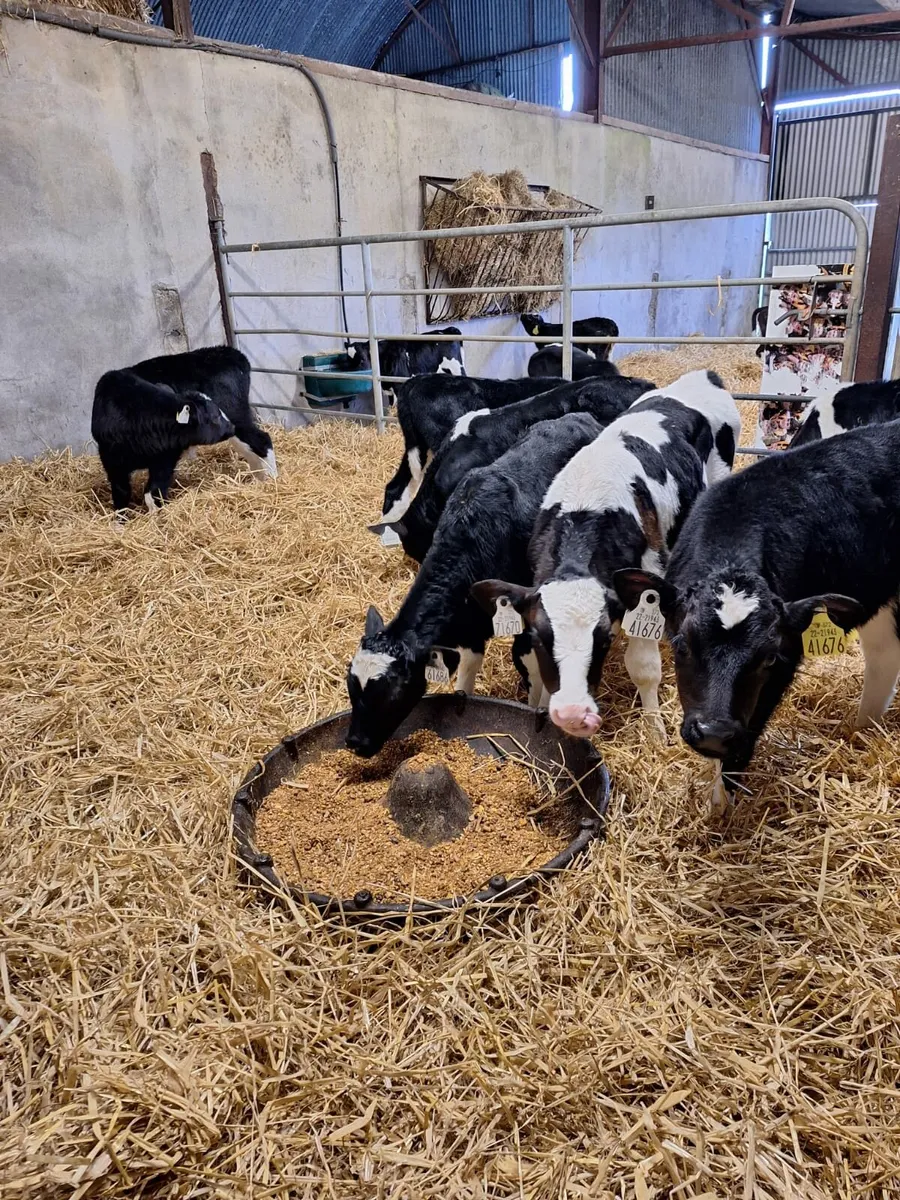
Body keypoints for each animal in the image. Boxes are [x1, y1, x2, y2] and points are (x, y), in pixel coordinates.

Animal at [91, 346, 275, 511]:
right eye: (213, 416)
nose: (228, 425)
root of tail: (230, 352)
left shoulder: (165, 456)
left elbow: (153, 494)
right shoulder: (112, 463)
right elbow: (121, 496)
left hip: (236, 414)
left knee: (262, 440)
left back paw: (272, 480)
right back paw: (258, 480)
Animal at [471, 371, 741, 740]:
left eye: (604, 639)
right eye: (540, 640)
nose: (573, 714)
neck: (587, 509)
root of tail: (700, 377)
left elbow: (644, 667)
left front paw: (654, 728)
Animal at [613, 421, 900, 814]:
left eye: (768, 658)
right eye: (681, 645)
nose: (714, 734)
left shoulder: (788, 654)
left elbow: (747, 734)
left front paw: (720, 806)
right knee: (884, 655)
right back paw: (862, 728)